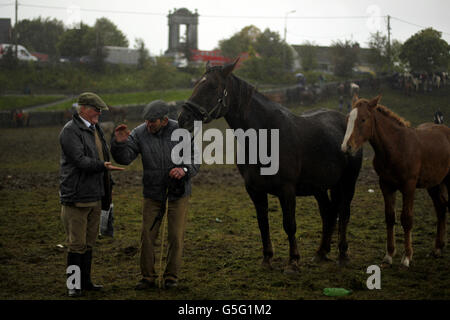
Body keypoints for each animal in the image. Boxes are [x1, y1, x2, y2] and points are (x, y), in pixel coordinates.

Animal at [178, 60, 364, 272]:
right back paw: (321, 252)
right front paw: (267, 258)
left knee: (344, 212)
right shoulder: (254, 190)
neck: (264, 136)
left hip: (348, 181)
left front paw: (293, 261)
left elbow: (289, 224)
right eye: (196, 84)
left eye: (212, 86)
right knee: (328, 213)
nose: (183, 118)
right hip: (320, 187)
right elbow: (263, 223)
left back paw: (343, 254)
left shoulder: (287, 189)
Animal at [342, 95, 450, 268]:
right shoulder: (386, 186)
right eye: (348, 119)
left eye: (363, 119)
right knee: (440, 208)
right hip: (433, 184)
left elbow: (406, 219)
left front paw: (407, 257)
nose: (347, 147)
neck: (396, 147)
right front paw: (389, 254)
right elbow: (389, 217)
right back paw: (437, 249)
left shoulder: (409, 187)